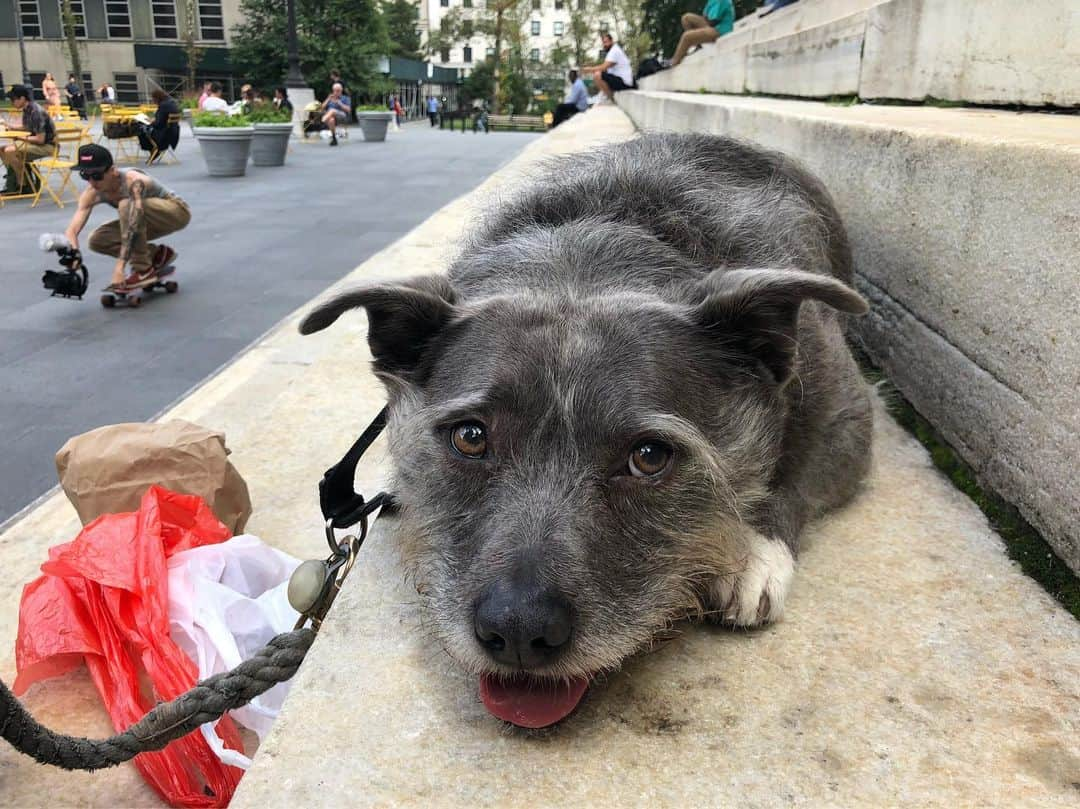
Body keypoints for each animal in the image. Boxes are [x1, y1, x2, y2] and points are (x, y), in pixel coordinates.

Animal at [300, 132, 872, 725]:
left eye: (649, 456)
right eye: (470, 437)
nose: (519, 631)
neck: (586, 257)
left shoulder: (850, 415)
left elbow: (799, 472)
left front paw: (755, 554)